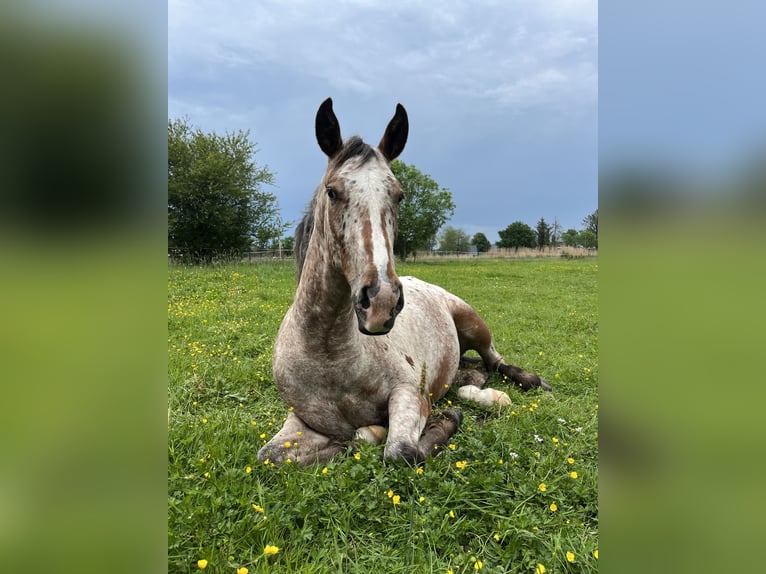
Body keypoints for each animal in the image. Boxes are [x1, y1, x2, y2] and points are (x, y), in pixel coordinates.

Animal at [260, 99, 552, 468]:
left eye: (399, 196)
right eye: (332, 192)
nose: (381, 301)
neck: (330, 358)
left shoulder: (408, 394)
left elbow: (401, 451)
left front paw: (447, 418)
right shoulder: (301, 418)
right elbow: (270, 454)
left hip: (474, 325)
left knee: (495, 360)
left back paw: (532, 381)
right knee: (474, 370)